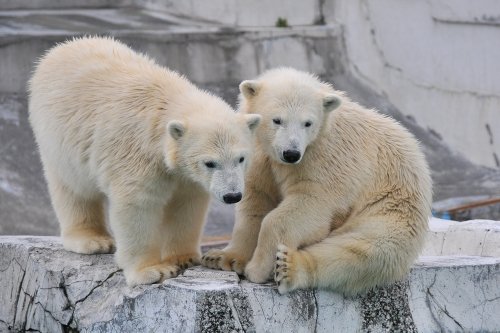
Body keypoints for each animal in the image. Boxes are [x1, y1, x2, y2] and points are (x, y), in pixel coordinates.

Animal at [28, 36, 262, 286]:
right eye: (209, 163)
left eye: (241, 158)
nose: (232, 196)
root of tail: (62, 47)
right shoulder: (137, 153)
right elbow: (137, 205)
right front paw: (152, 271)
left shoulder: (184, 174)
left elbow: (185, 204)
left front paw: (185, 258)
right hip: (59, 137)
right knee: (74, 187)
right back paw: (93, 240)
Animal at [201, 67, 432, 294]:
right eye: (277, 120)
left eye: (307, 123)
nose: (291, 153)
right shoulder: (260, 158)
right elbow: (255, 205)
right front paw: (222, 257)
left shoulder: (324, 157)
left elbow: (310, 204)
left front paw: (256, 269)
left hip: (390, 206)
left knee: (364, 248)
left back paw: (288, 267)